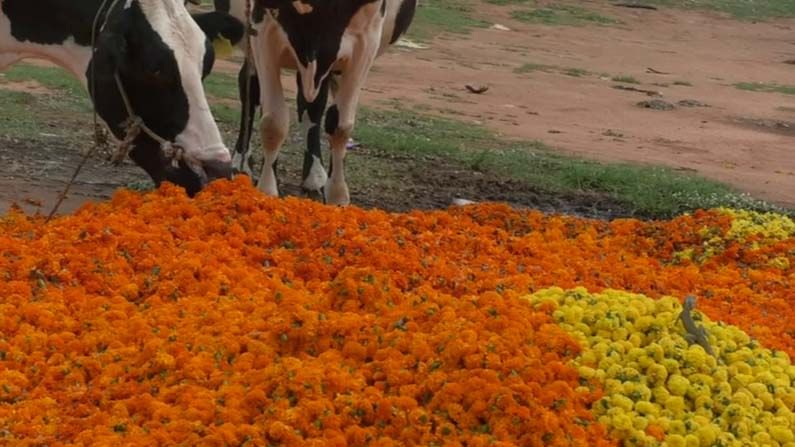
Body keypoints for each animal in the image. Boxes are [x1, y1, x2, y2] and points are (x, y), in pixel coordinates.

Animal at [215, 0, 420, 206]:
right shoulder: (263, 30)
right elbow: (274, 122)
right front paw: (267, 190)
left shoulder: (366, 42)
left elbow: (340, 126)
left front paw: (337, 194)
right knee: (250, 88)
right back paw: (241, 163)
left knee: (311, 106)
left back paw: (314, 177)